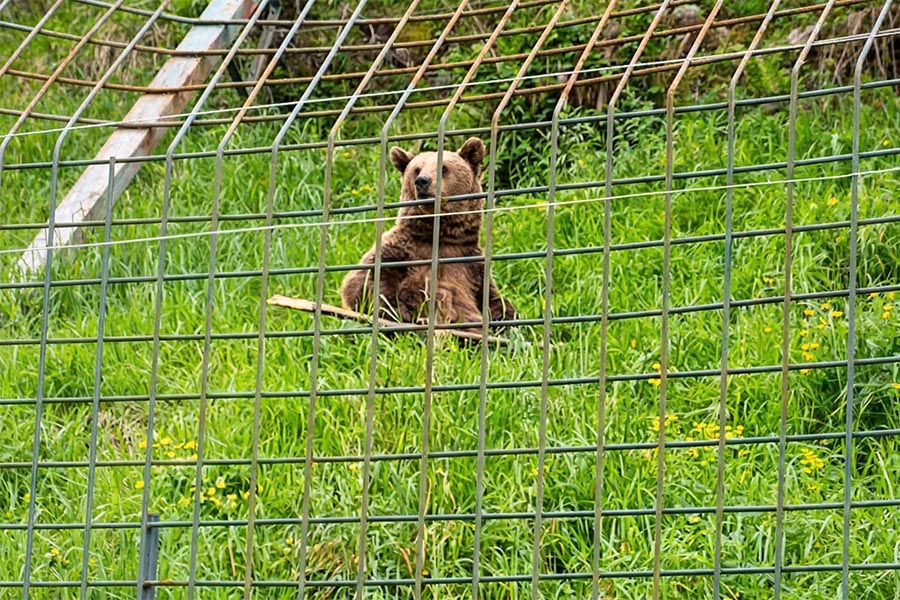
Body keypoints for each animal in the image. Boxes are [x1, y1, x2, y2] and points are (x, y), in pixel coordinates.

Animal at [339, 137, 518, 335]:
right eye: (416, 169)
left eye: (443, 168)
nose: (422, 181)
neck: (438, 235)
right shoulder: (399, 251)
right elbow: (363, 284)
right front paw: (405, 313)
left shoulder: (470, 265)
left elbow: (494, 301)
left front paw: (507, 319)